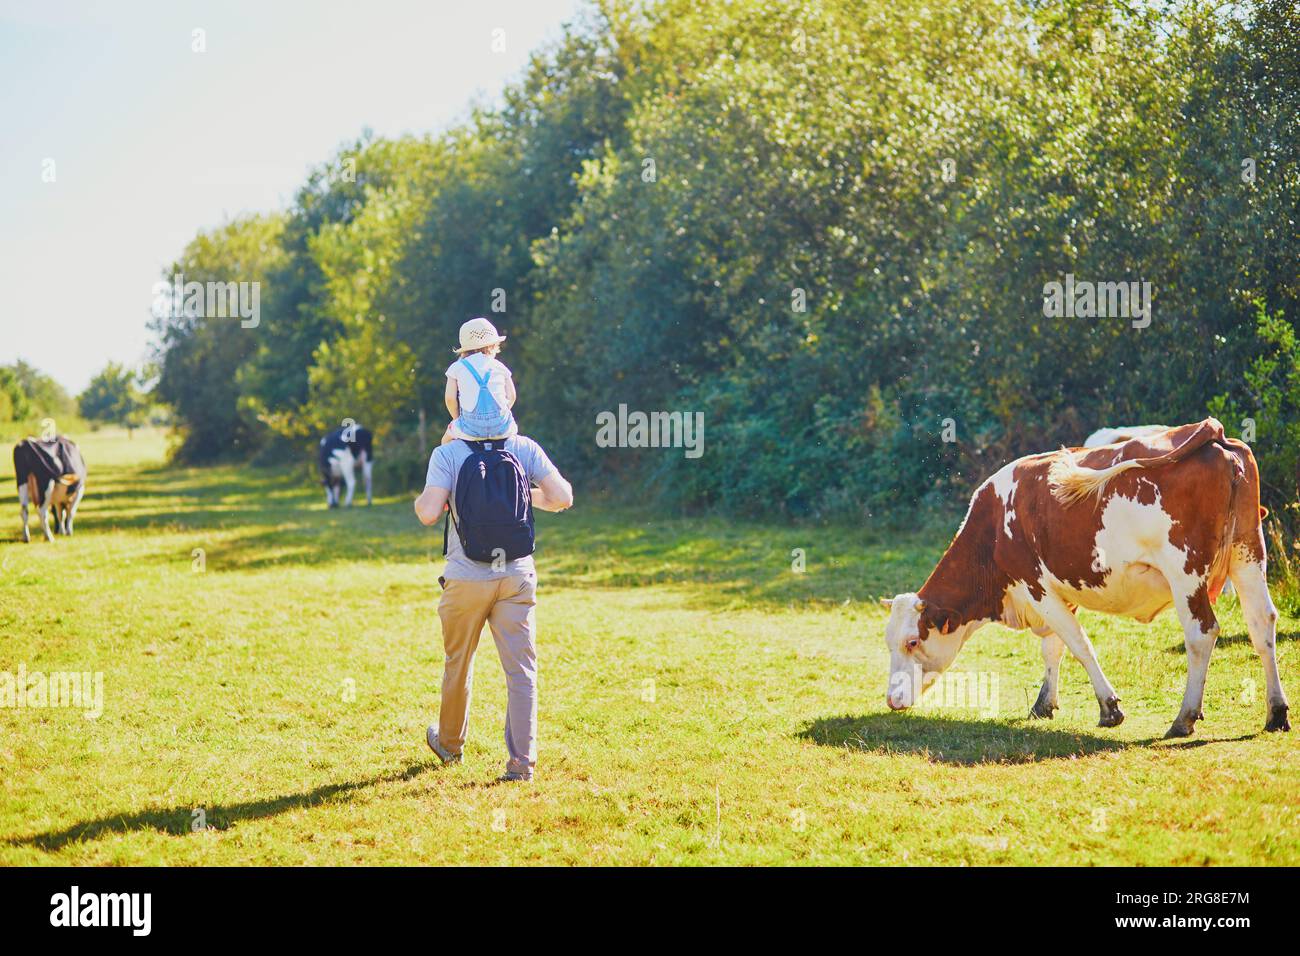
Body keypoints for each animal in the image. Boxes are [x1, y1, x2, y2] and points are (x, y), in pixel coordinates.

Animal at [883, 418, 1289, 738]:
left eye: (912, 642)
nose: (891, 700)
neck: (994, 528)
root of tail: (1212, 432)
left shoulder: (1037, 586)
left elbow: (1078, 644)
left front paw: (1110, 708)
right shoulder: (1059, 588)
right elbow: (1054, 646)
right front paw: (1044, 704)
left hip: (1185, 573)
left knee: (1202, 633)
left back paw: (1184, 718)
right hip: (1248, 554)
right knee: (1261, 622)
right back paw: (1276, 712)